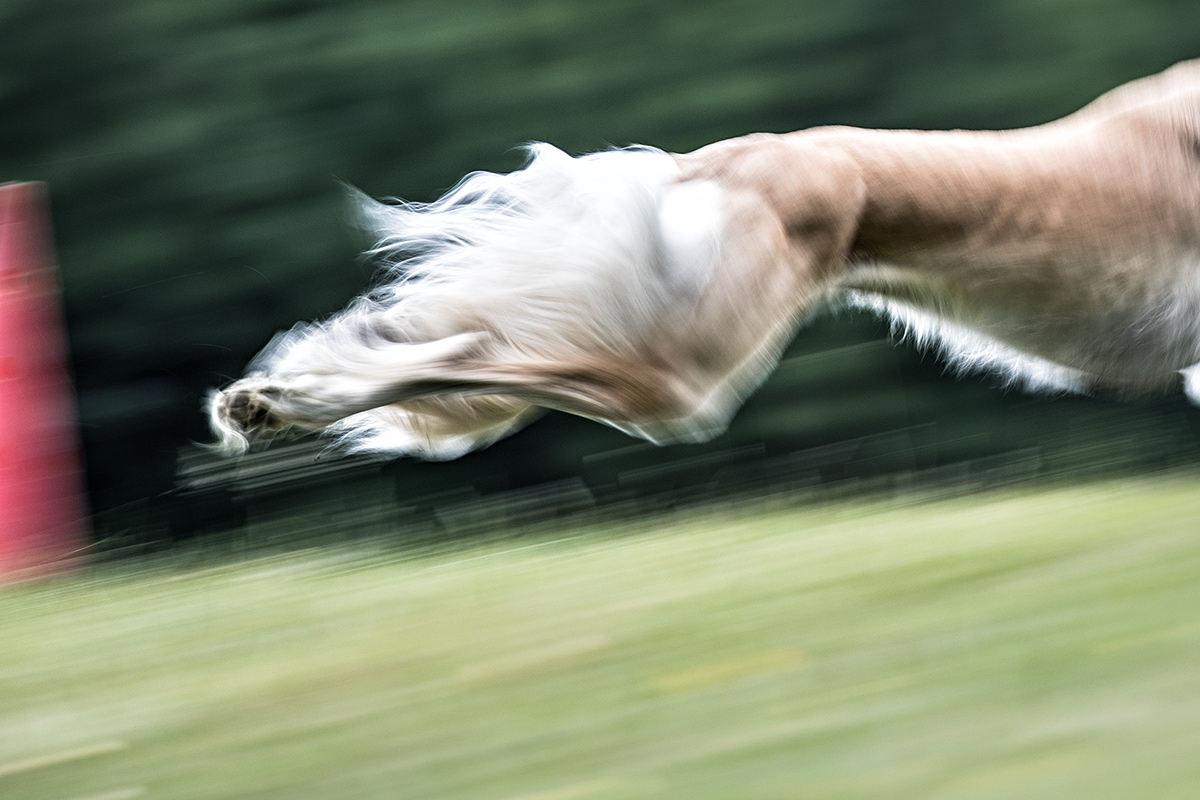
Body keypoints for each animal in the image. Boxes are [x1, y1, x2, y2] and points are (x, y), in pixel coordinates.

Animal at [211, 59, 1200, 460]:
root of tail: (709, 160)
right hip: (686, 372)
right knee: (505, 356)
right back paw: (284, 400)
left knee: (481, 346)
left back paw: (287, 394)